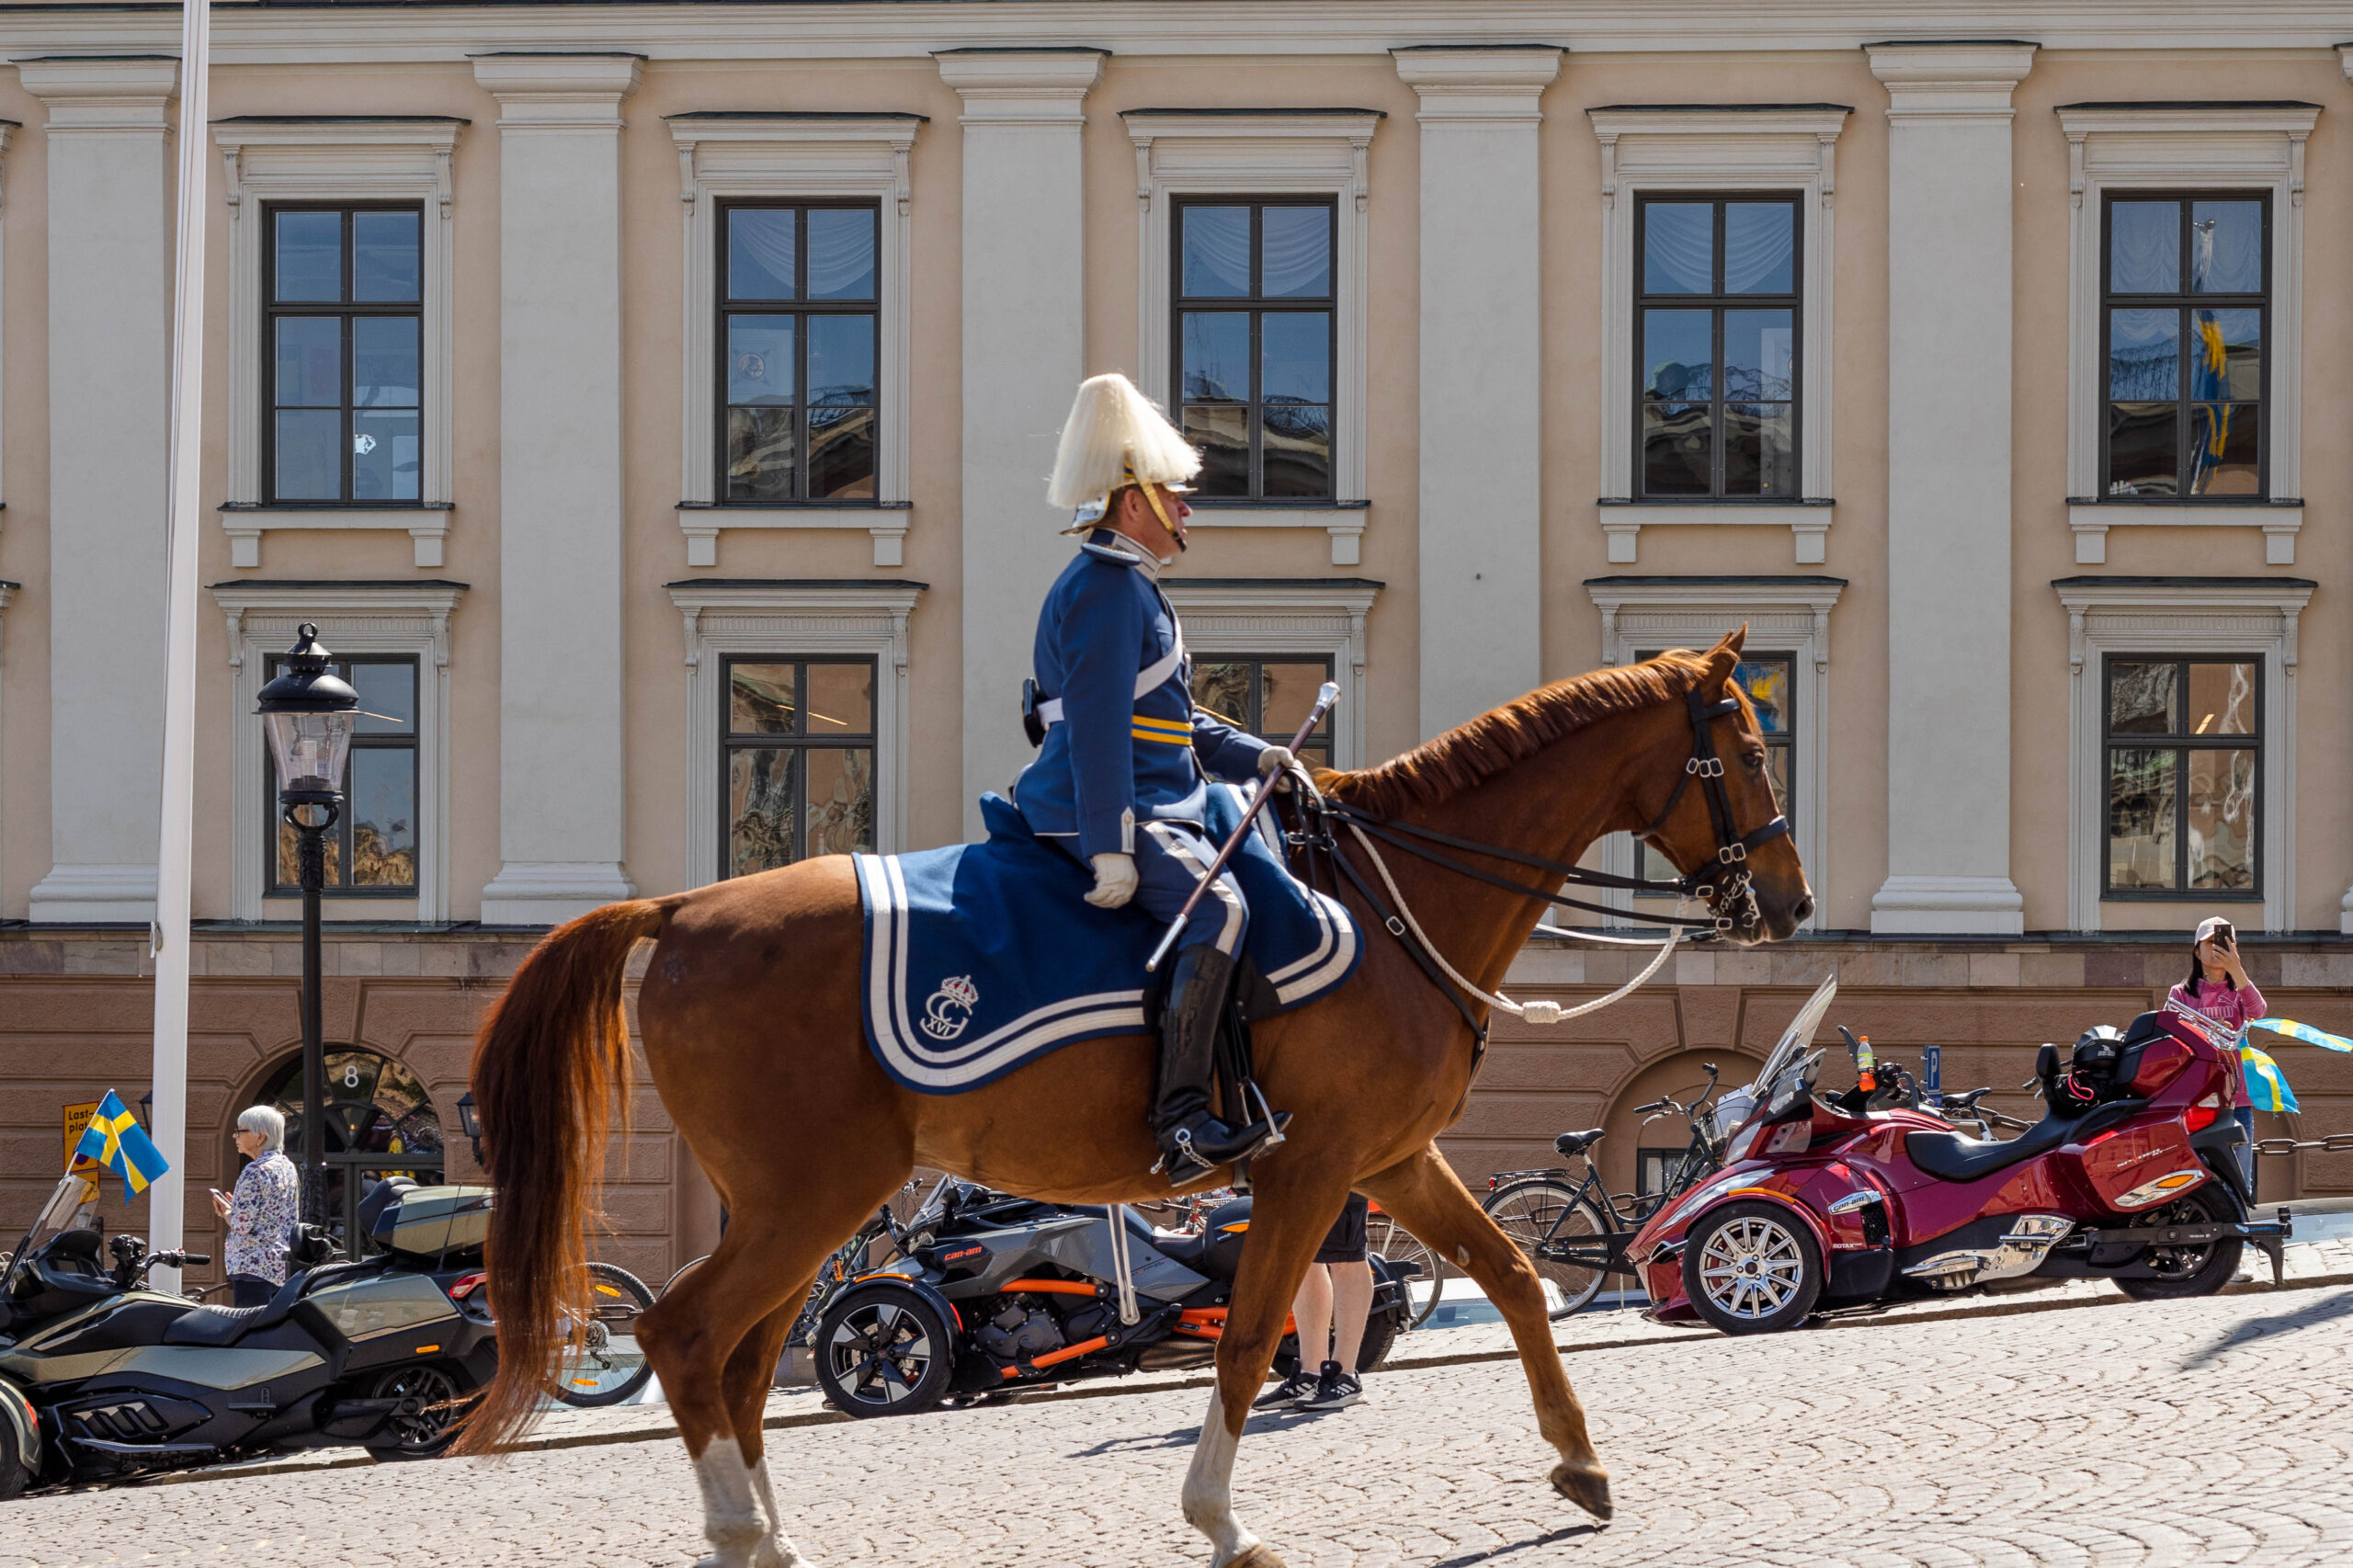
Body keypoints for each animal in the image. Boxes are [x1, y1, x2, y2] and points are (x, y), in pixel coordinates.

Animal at [449, 626, 1797, 1562]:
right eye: (1744, 745)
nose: (1787, 901)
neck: (1390, 894)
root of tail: (681, 906)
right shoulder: (1310, 1165)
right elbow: (1250, 1335)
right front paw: (1219, 1519)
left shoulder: (1387, 1157)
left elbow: (1515, 1276)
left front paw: (1580, 1463)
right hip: (807, 1197)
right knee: (685, 1336)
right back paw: (741, 1532)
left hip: (801, 1204)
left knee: (736, 1364)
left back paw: (769, 1535)